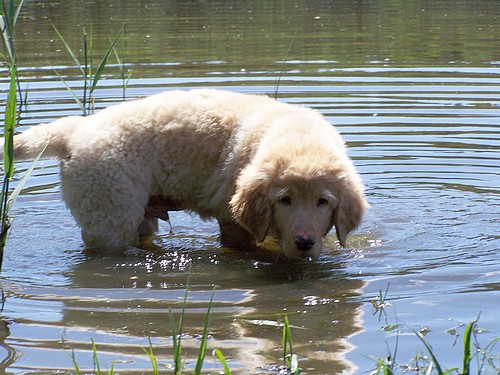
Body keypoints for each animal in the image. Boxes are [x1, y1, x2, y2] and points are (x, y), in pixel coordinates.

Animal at [1, 89, 370, 258]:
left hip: (136, 216)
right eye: (284, 200)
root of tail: (75, 130)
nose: (304, 243)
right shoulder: (233, 220)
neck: (297, 134)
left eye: (323, 202)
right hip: (109, 215)